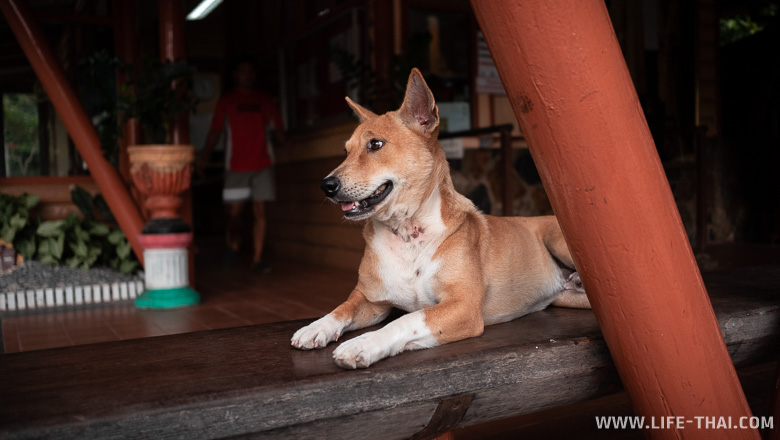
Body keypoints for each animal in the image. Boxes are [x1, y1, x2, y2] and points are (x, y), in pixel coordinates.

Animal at [292, 69, 592, 372]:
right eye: (346, 151)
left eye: (375, 144)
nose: (326, 185)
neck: (407, 231)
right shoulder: (370, 300)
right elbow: (343, 307)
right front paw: (317, 327)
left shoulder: (462, 307)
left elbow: (407, 319)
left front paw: (363, 344)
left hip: (558, 242)